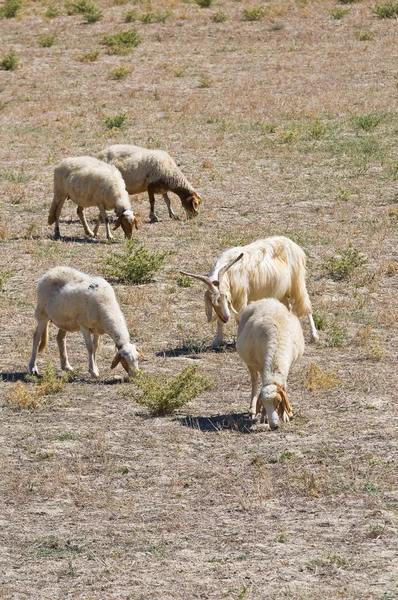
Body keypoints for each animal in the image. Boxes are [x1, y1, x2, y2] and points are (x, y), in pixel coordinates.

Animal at [182, 234, 318, 346]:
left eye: (226, 298)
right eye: (215, 301)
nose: (227, 317)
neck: (229, 272)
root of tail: (293, 245)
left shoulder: (241, 298)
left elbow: (239, 319)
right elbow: (220, 321)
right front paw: (216, 341)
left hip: (297, 282)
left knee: (306, 305)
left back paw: (314, 336)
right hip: (282, 291)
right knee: (287, 307)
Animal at [236, 298, 304, 428]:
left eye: (278, 401)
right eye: (263, 404)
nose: (273, 426)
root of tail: (265, 299)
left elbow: (284, 388)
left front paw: (285, 416)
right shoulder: (262, 367)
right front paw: (264, 416)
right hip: (250, 363)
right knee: (254, 381)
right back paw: (252, 410)